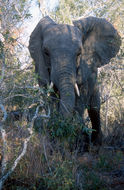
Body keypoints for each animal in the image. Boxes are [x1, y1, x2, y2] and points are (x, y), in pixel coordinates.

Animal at [28, 15, 120, 145]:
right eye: (46, 52)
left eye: (79, 53)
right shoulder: (40, 67)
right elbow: (49, 97)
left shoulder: (85, 69)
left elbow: (81, 97)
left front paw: (78, 138)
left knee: (94, 108)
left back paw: (96, 143)